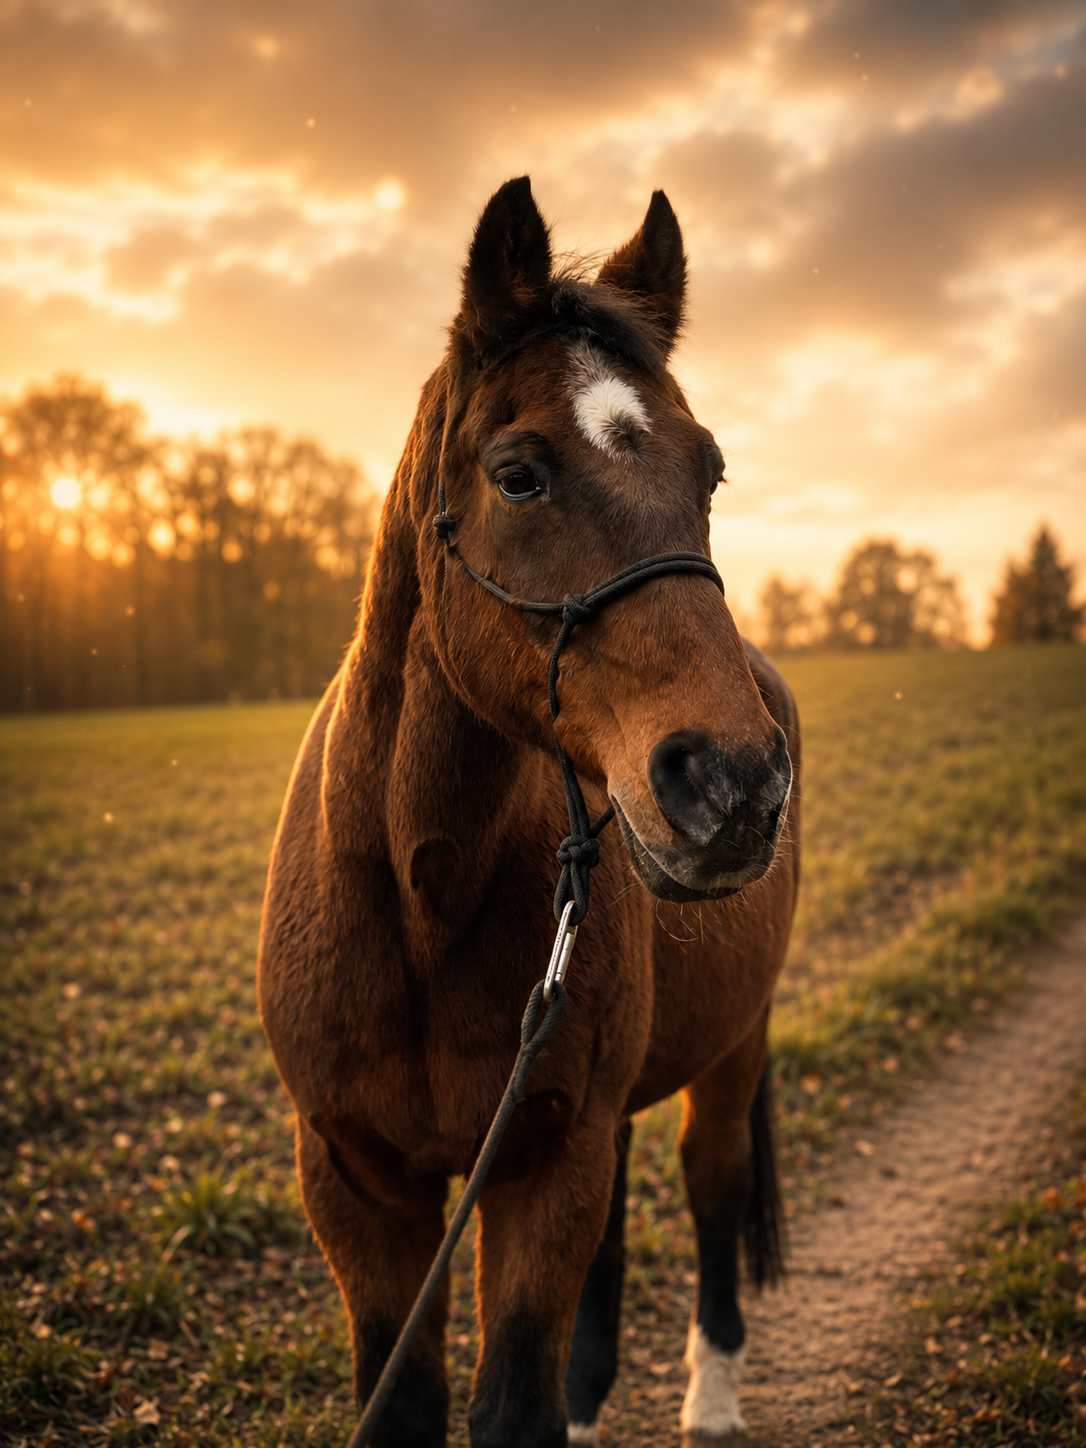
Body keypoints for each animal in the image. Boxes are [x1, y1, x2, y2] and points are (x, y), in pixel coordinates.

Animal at [258, 176, 800, 1448]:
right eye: (518, 473)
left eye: (709, 472)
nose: (734, 780)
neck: (420, 890)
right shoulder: (361, 1184)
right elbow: (409, 1403)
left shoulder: (546, 1161)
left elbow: (515, 1405)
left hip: (731, 1048)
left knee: (712, 1185)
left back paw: (711, 1392)